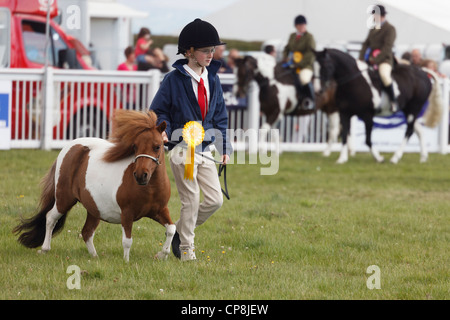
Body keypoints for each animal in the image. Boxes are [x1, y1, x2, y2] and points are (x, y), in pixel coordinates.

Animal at [13, 109, 175, 260]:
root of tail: (69, 148)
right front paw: (126, 262)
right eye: (135, 146)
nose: (141, 176)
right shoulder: (127, 214)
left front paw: (162, 255)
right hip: (64, 199)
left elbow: (171, 229)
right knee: (51, 217)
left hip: (94, 208)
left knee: (86, 231)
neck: (150, 189)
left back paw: (95, 256)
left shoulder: (160, 211)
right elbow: (127, 241)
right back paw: (45, 249)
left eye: (157, 146)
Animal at [314, 48, 442, 164]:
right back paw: (423, 157)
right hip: (407, 110)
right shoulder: (344, 114)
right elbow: (345, 136)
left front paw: (379, 158)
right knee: (419, 130)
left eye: (325, 66)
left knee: (409, 131)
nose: (318, 90)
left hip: (414, 108)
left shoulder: (367, 115)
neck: (354, 81)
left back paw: (395, 158)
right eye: (314, 66)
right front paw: (342, 159)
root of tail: (423, 72)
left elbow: (367, 140)